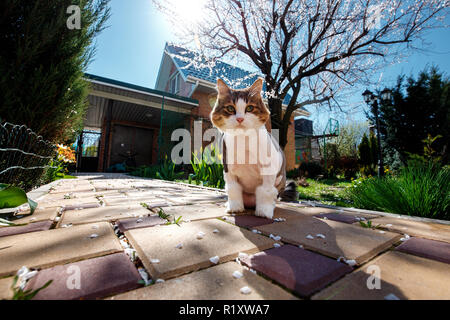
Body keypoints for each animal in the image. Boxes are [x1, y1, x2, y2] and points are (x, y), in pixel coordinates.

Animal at [210, 77, 292, 220]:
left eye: (249, 108)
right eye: (230, 108)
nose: (240, 118)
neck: (243, 140)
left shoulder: (268, 169)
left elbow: (266, 190)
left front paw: (264, 211)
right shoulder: (228, 169)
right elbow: (232, 189)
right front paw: (235, 208)